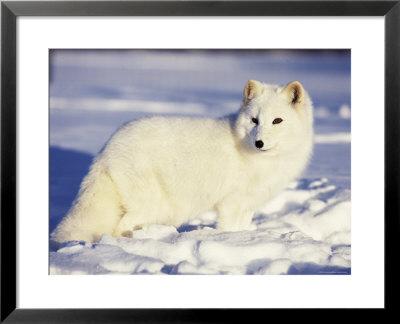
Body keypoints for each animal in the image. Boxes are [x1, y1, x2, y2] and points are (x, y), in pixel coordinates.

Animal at [50, 80, 312, 243]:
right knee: (120, 226)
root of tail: (106, 149)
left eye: (277, 120)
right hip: (153, 204)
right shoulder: (231, 203)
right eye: (254, 120)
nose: (259, 143)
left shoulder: (247, 205)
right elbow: (229, 229)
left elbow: (241, 227)